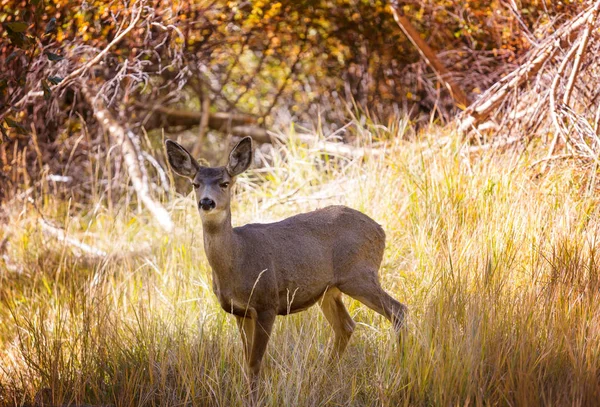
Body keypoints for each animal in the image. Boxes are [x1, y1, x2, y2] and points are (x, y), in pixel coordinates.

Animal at [166, 136, 406, 388]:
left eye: (224, 183)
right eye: (195, 184)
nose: (206, 202)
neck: (237, 259)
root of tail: (381, 231)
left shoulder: (266, 302)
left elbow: (255, 363)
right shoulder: (238, 310)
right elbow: (246, 361)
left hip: (359, 275)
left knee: (398, 311)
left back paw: (401, 373)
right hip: (329, 290)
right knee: (346, 326)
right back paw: (323, 376)